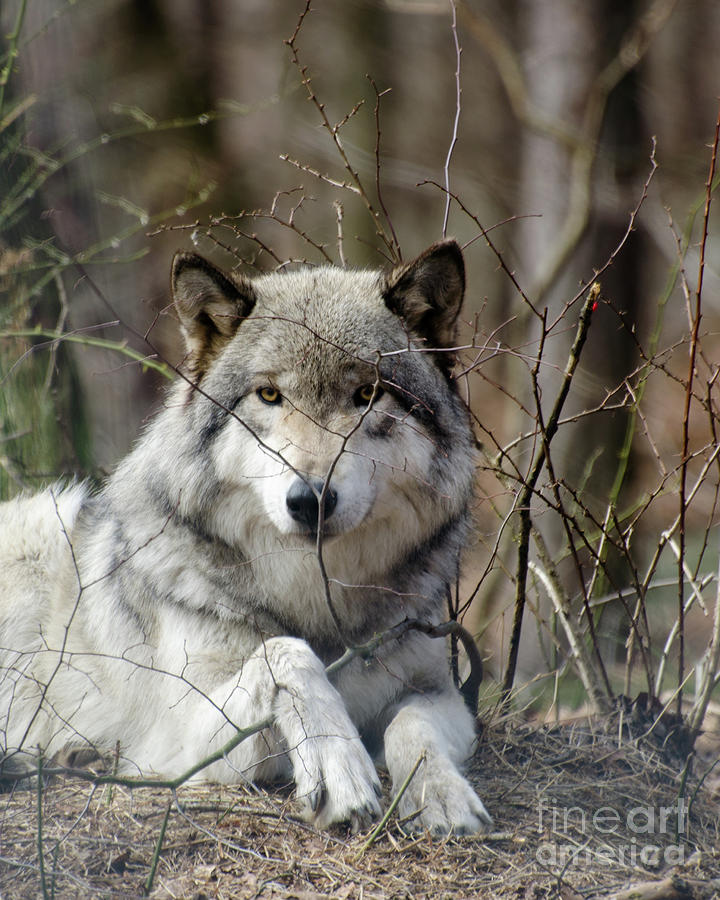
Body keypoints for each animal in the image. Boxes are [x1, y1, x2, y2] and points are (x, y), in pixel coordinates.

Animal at [0, 241, 490, 836]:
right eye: (270, 394)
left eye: (367, 394)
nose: (310, 500)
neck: (317, 600)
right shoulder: (183, 741)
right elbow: (285, 654)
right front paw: (340, 769)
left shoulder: (440, 694)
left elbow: (412, 726)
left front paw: (443, 795)